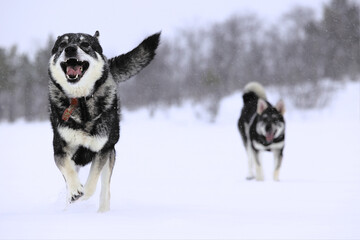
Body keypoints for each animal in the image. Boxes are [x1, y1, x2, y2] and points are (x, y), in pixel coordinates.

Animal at [48, 30, 160, 212]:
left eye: (85, 44)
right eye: (62, 45)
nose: (70, 49)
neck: (82, 102)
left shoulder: (103, 150)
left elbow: (92, 184)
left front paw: (82, 194)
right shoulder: (60, 150)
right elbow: (68, 170)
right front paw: (74, 191)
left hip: (110, 154)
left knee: (105, 189)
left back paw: (102, 212)